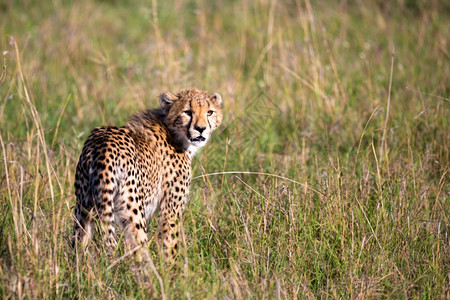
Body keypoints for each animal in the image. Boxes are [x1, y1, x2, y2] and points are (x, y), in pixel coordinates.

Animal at [73, 88, 224, 262]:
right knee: (139, 252)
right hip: (134, 212)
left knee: (78, 244)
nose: (201, 128)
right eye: (187, 112)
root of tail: (103, 144)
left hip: (83, 207)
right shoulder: (170, 211)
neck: (173, 131)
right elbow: (170, 244)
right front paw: (172, 268)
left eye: (209, 112)